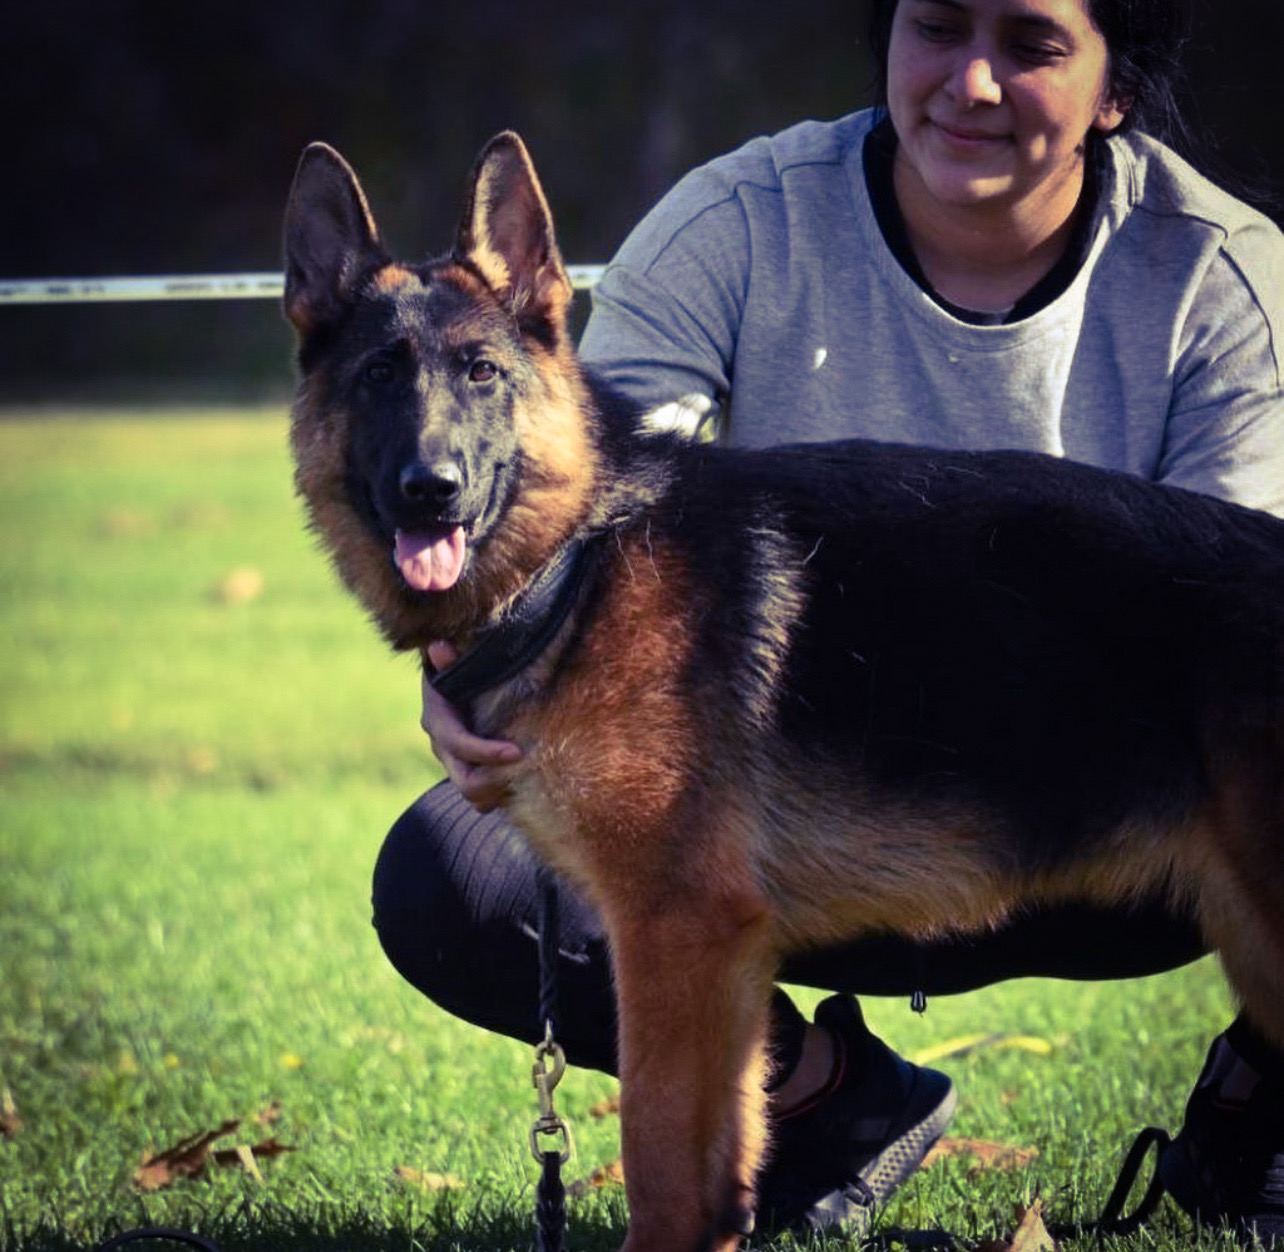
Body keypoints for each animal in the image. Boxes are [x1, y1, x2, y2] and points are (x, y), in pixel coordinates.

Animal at [286, 132, 1284, 1248]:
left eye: (482, 373)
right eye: (379, 376)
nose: (433, 488)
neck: (581, 555)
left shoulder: (673, 936)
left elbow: (659, 1159)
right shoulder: (711, 959)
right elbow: (714, 1166)